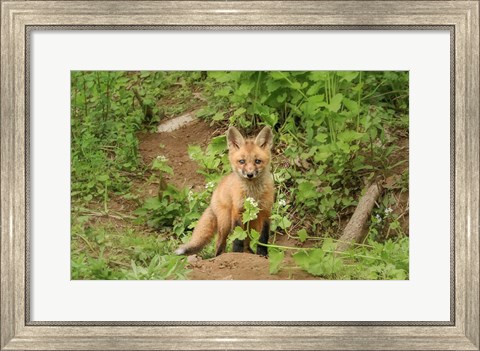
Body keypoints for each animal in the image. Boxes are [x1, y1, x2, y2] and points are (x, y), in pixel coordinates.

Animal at [175, 126, 274, 256]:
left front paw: (263, 254)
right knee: (220, 245)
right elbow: (237, 238)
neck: (253, 193)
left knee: (246, 243)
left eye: (257, 161)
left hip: (251, 223)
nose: (250, 174)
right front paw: (236, 253)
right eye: (242, 161)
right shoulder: (237, 211)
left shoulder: (265, 212)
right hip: (226, 222)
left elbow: (263, 237)